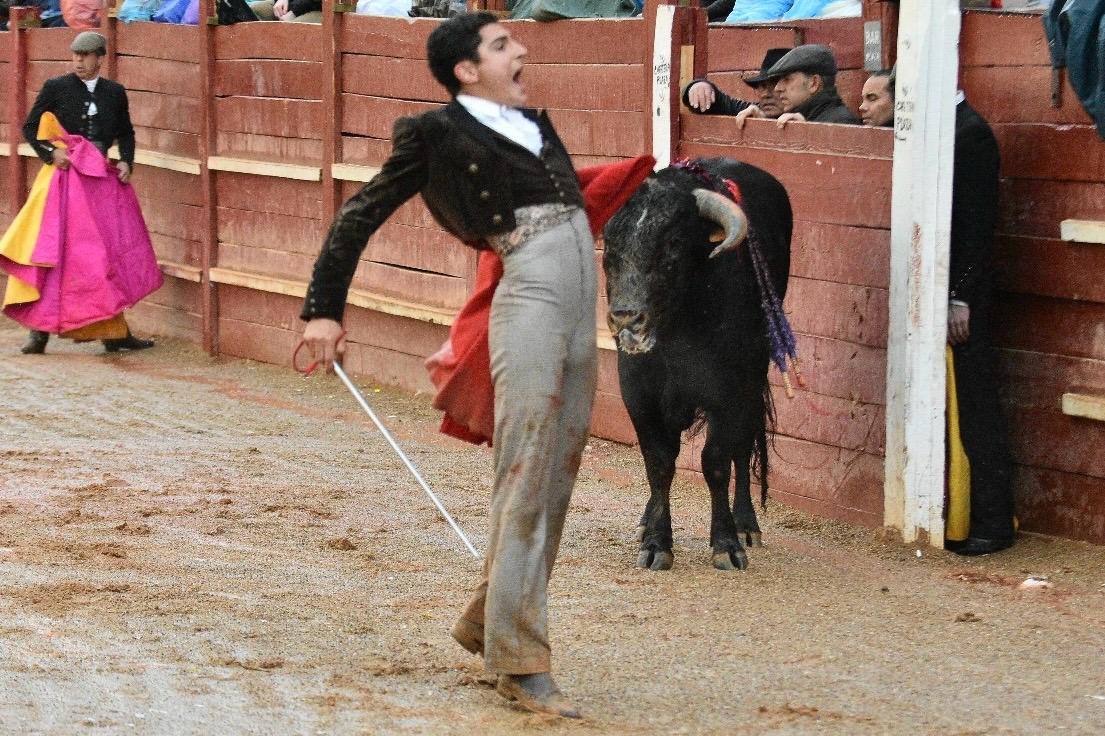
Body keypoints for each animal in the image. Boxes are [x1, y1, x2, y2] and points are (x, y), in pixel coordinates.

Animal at [601, 158, 791, 570]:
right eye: (610, 243)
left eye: (673, 244)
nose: (625, 318)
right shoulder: (639, 396)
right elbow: (658, 463)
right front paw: (657, 542)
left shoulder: (729, 395)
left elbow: (717, 461)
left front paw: (726, 543)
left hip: (753, 383)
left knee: (742, 448)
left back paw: (746, 524)